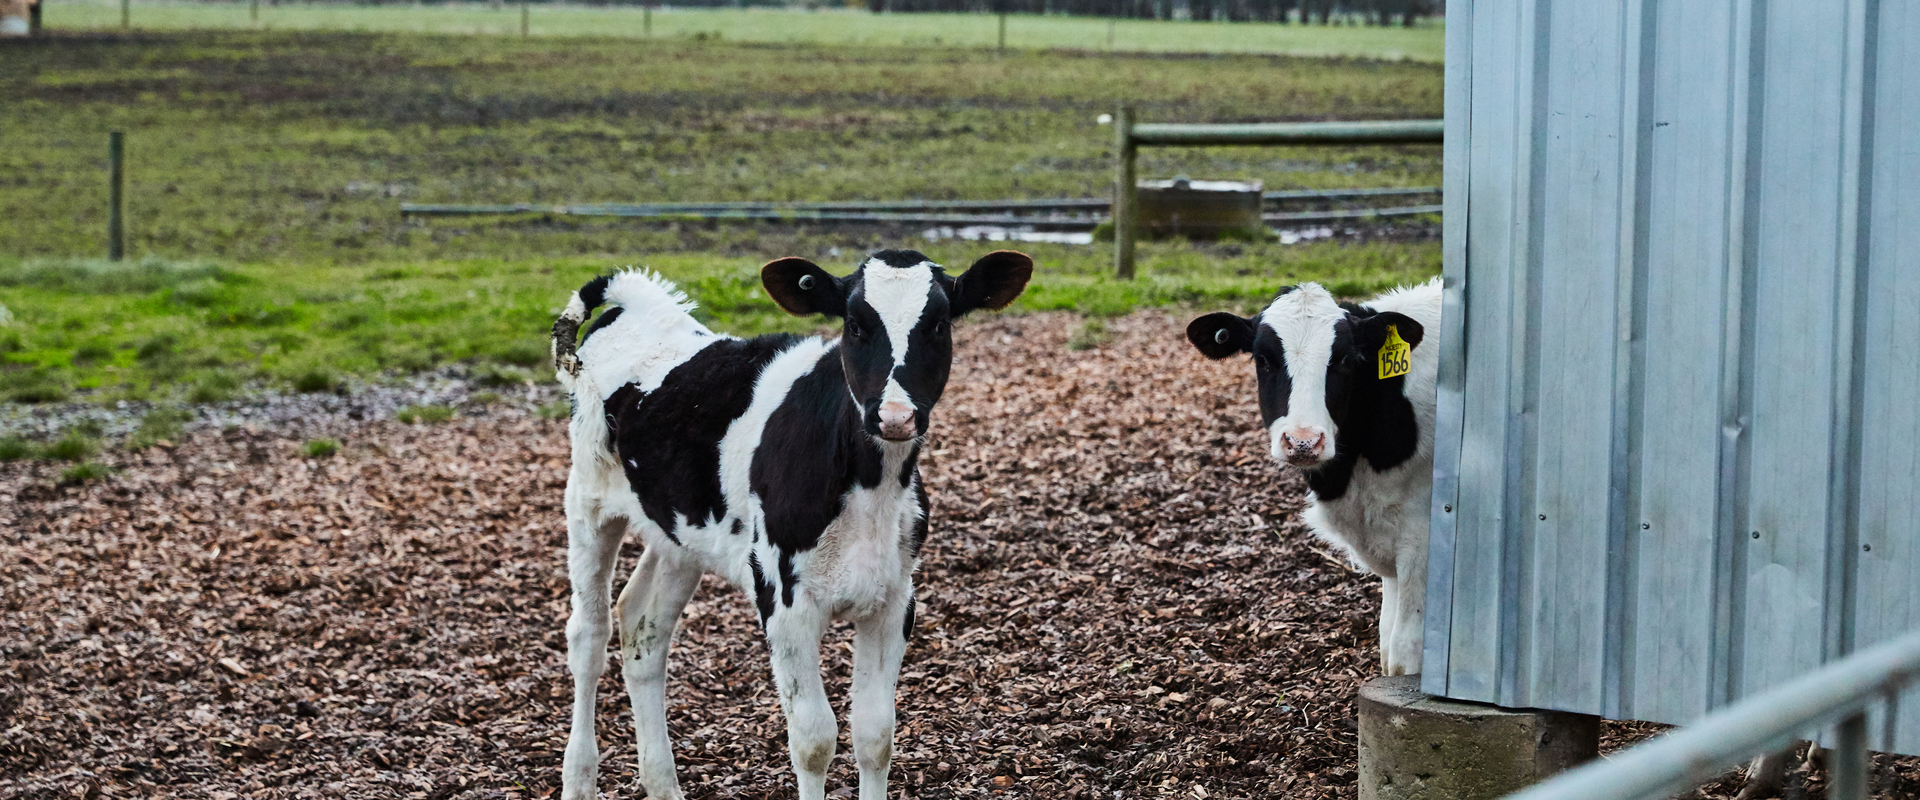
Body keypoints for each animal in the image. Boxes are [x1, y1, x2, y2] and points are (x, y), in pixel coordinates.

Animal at [549, 249, 1032, 800]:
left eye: (938, 324)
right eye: (854, 325)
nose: (894, 416)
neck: (868, 483)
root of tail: (630, 304)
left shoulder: (895, 598)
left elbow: (875, 733)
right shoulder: (783, 599)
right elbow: (814, 738)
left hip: (680, 534)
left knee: (642, 630)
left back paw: (662, 782)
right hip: (587, 502)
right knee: (589, 636)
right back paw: (579, 778)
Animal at [1185, 277, 1441, 676]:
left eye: (1345, 360)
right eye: (1263, 359)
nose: (1303, 441)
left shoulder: (1421, 541)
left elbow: (1403, 654)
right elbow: (1386, 641)